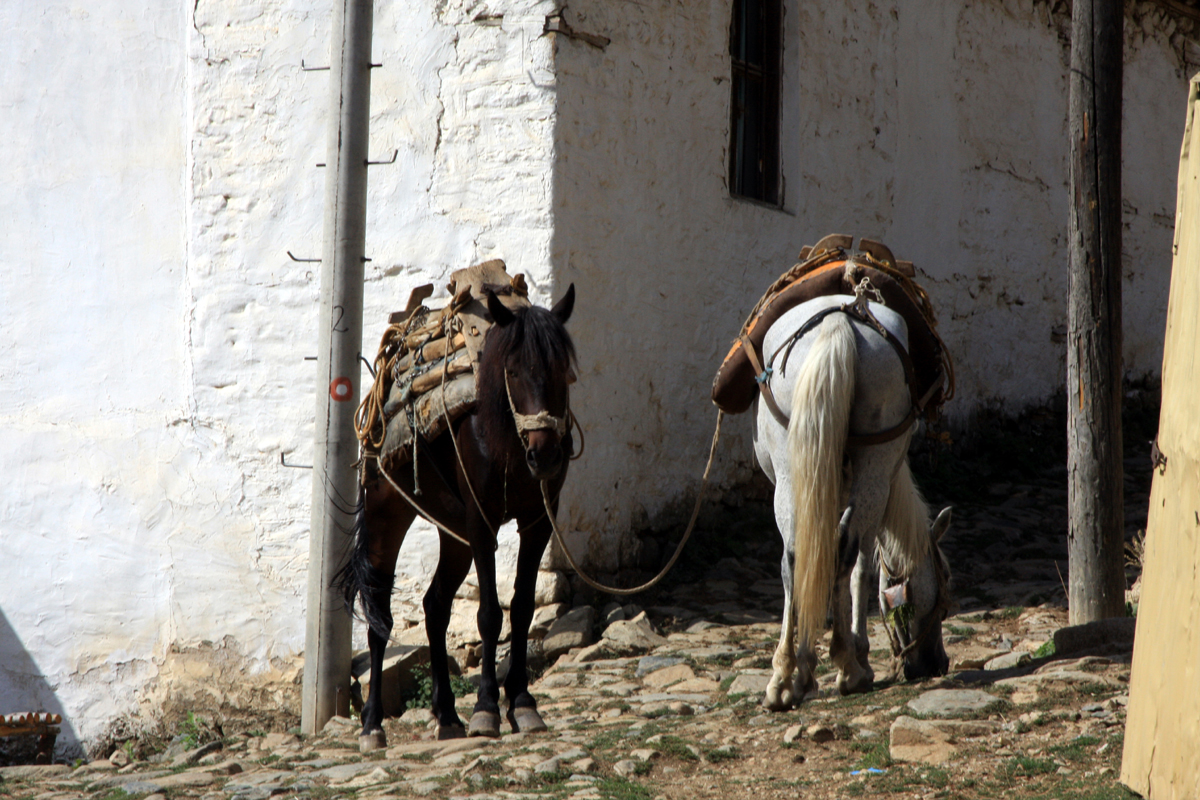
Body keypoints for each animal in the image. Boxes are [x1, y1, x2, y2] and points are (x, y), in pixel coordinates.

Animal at [338, 284, 576, 748]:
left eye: (562, 369)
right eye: (513, 371)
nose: (545, 455)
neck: (508, 441)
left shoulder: (538, 521)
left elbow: (522, 607)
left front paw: (523, 703)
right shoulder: (483, 523)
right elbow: (489, 615)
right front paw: (487, 709)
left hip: (454, 533)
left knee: (434, 606)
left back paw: (447, 715)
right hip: (386, 516)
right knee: (379, 617)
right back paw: (373, 724)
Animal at [748, 292, 955, 705]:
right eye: (944, 580)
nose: (935, 664)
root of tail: (839, 322)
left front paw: (806, 668)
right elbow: (861, 569)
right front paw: (856, 654)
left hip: (790, 472)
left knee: (795, 556)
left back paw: (783, 679)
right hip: (873, 467)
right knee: (845, 553)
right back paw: (849, 668)